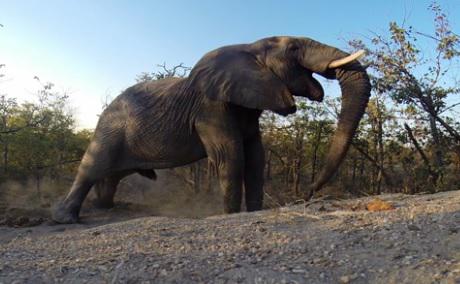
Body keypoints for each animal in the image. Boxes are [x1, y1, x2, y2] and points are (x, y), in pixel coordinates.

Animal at [52, 35, 372, 223]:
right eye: (293, 48)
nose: (309, 193)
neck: (251, 47)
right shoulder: (211, 108)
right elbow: (231, 156)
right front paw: (230, 214)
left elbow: (256, 157)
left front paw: (254, 212)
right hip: (110, 129)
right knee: (92, 167)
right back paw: (65, 219)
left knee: (111, 175)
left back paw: (105, 207)